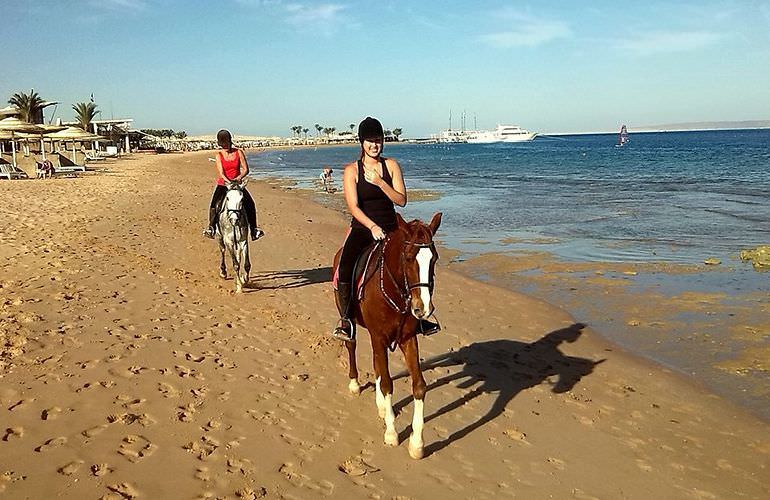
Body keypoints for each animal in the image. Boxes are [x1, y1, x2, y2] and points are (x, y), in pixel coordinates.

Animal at [332, 211, 440, 458]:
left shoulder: (407, 339)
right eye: (409, 258)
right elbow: (388, 385)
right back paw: (355, 384)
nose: (423, 308)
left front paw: (416, 443)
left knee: (377, 364)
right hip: (349, 320)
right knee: (351, 345)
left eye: (434, 259)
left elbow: (419, 385)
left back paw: (381, 406)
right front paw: (391, 434)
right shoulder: (379, 337)